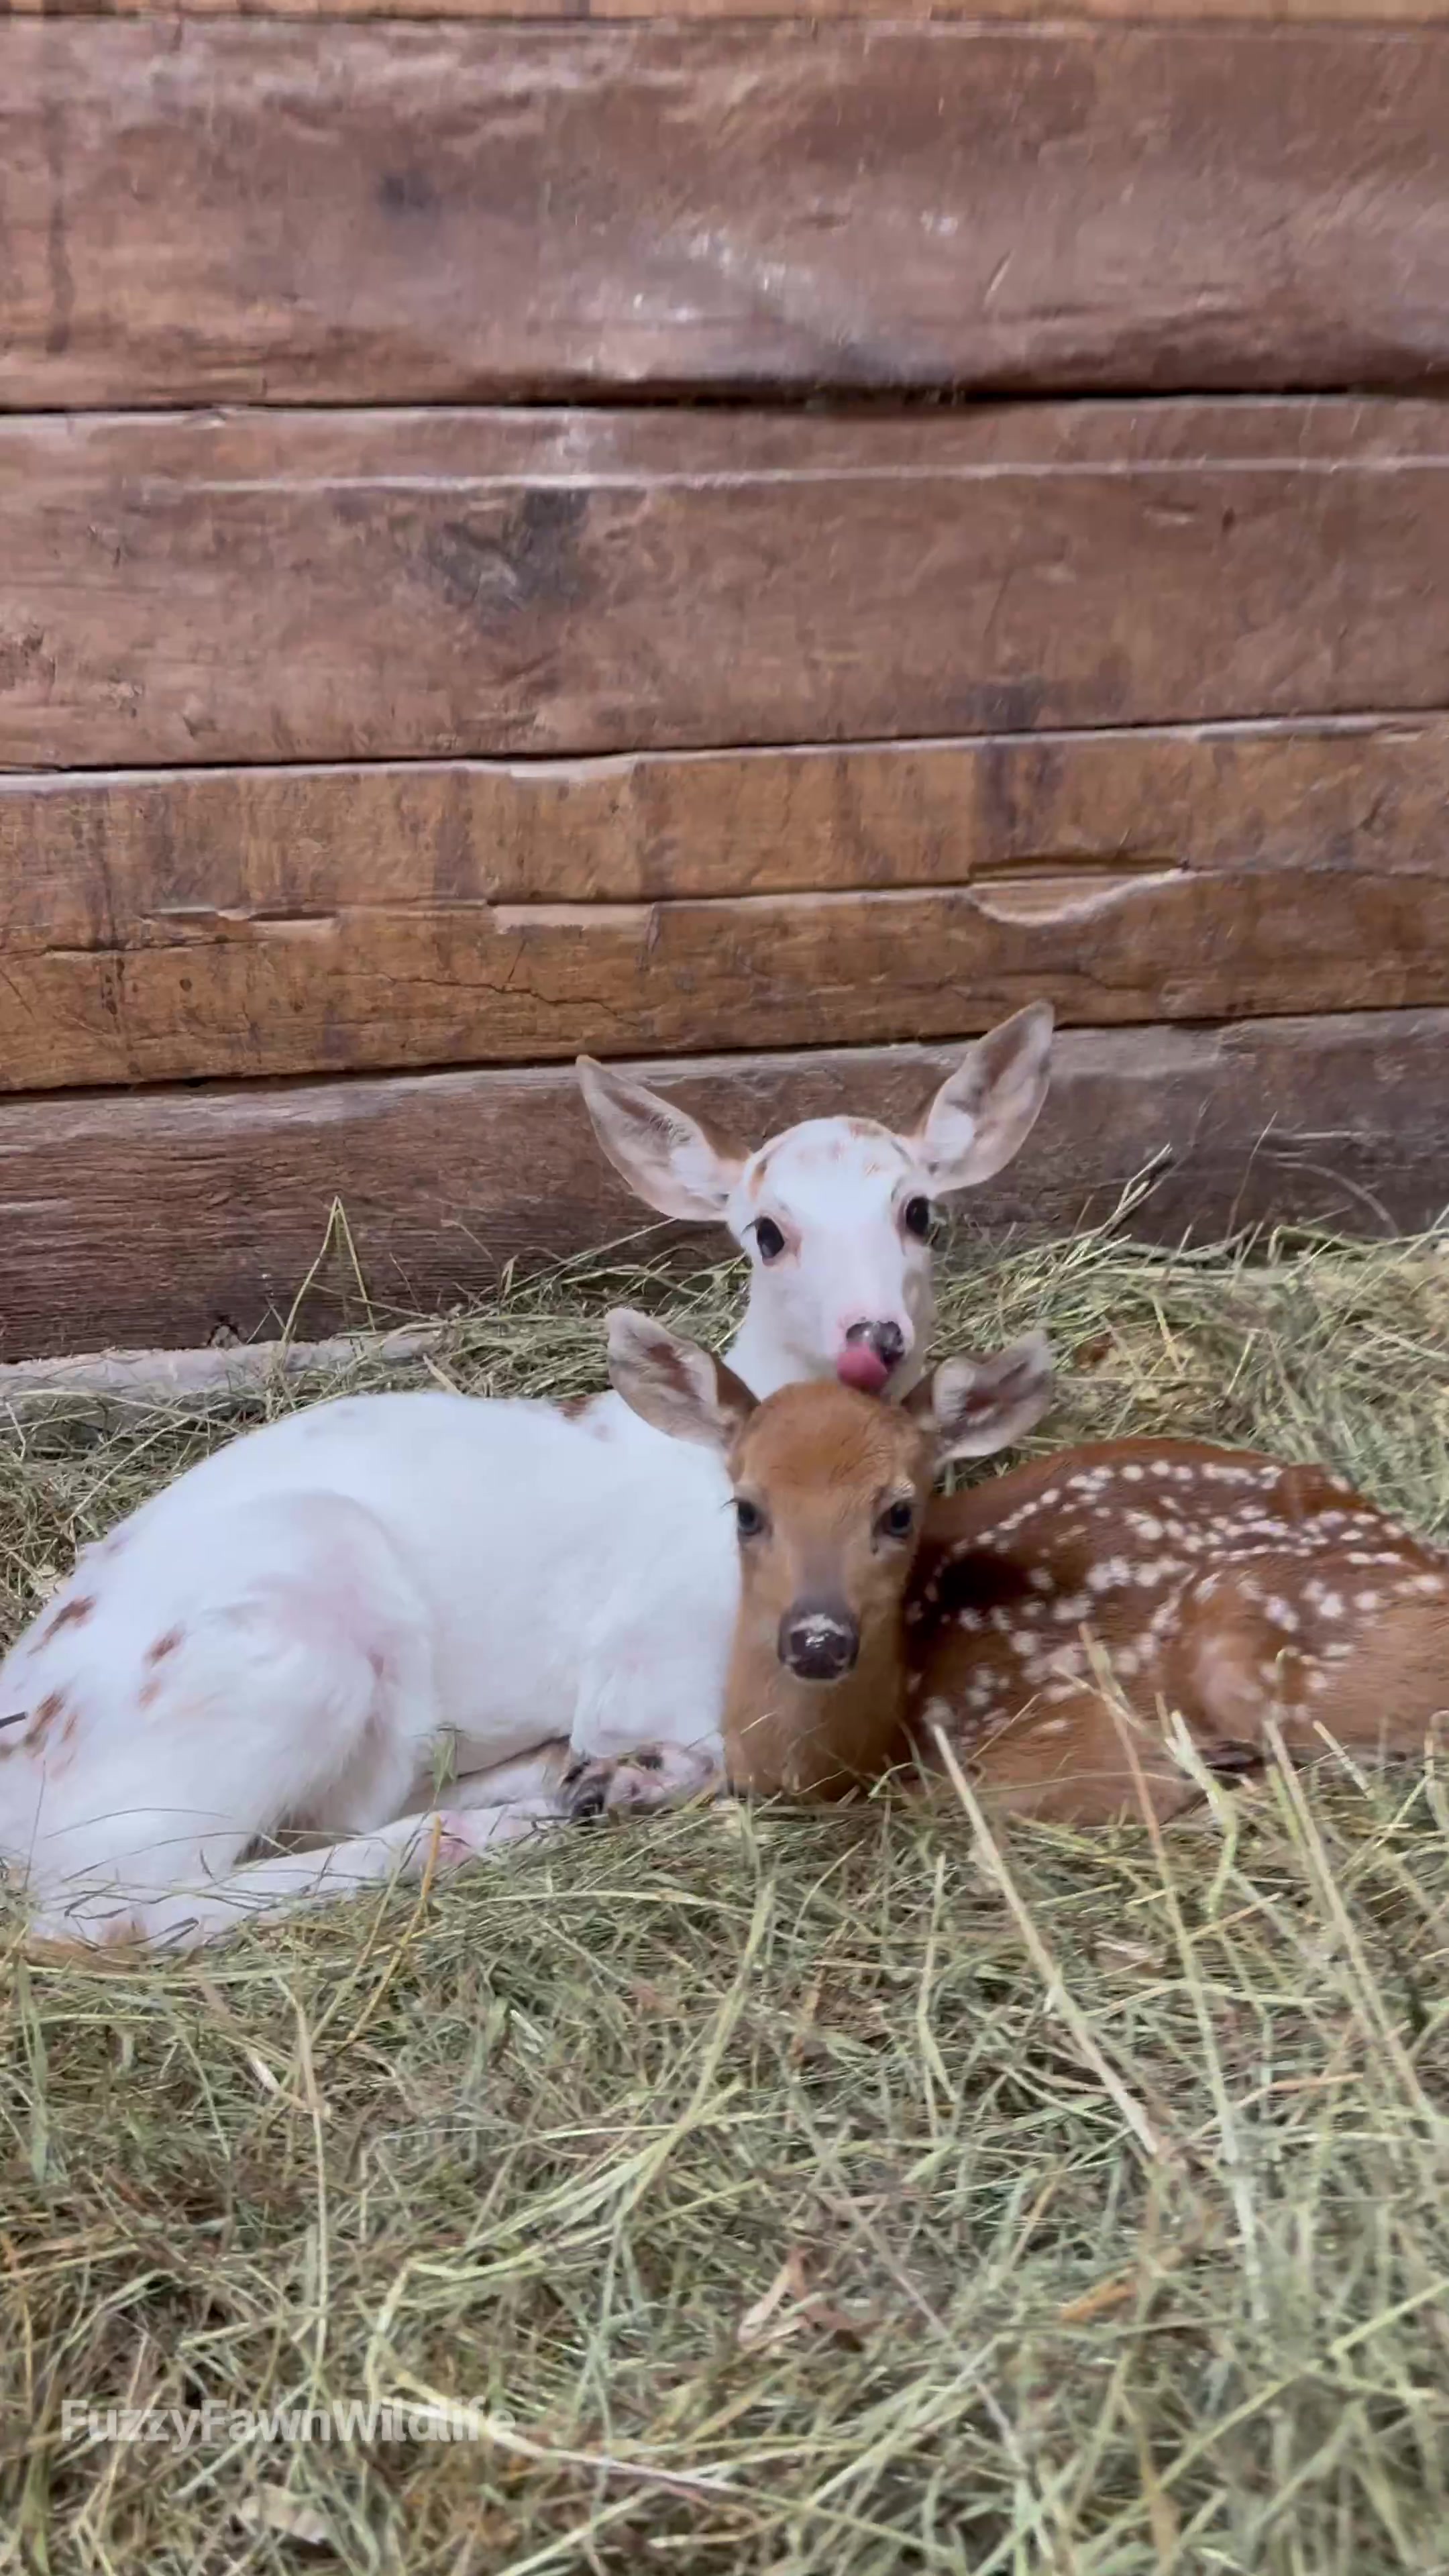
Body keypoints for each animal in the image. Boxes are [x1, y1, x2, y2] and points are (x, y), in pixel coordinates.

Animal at [0, 1005, 1054, 1949]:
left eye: (918, 1212)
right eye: (766, 1231)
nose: (874, 1338)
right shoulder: (648, 1654)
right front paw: (641, 1773)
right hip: (271, 1655)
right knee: (119, 1909)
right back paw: (481, 1830)